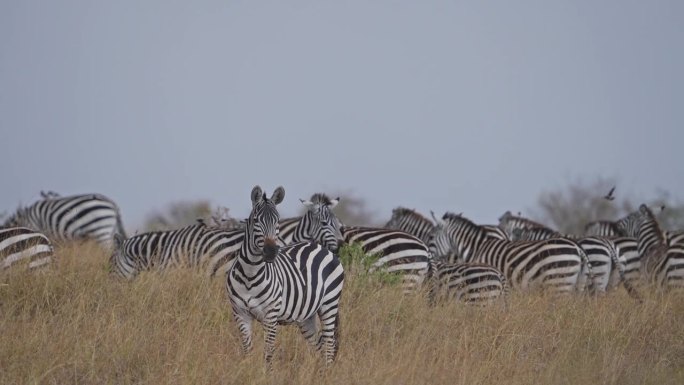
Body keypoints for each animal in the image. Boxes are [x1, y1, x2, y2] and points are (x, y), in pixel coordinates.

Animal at [227, 186, 344, 366]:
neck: (249, 275)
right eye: (256, 220)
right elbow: (248, 351)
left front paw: (265, 372)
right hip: (307, 316)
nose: (271, 252)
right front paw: (247, 369)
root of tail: (321, 247)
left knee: (329, 345)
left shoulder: (271, 315)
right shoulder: (240, 314)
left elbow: (268, 353)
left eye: (277, 221)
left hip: (329, 304)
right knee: (318, 346)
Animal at [430, 213, 592, 294]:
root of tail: (577, 247)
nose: (429, 258)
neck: (477, 248)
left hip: (559, 282)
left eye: (432, 236)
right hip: (578, 283)